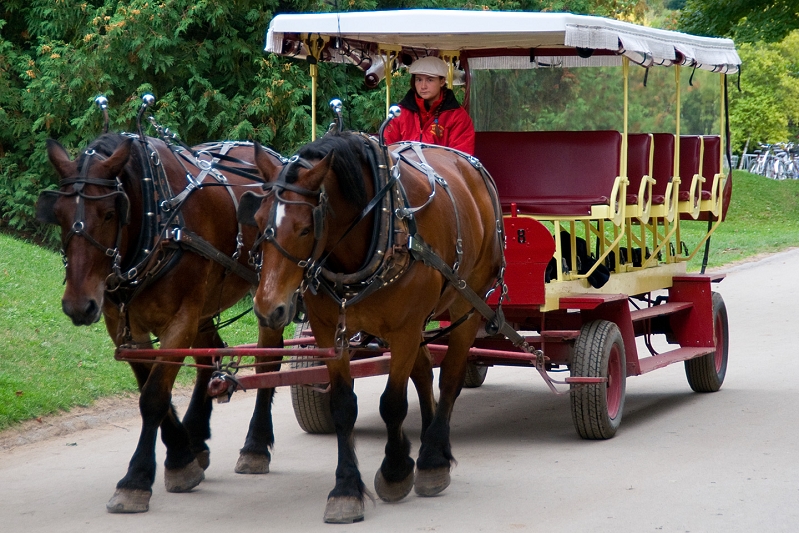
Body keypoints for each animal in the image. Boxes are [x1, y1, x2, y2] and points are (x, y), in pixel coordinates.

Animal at [38, 133, 288, 512]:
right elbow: (152, 388)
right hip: (205, 305)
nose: (78, 306)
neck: (158, 222)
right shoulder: (124, 328)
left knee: (267, 362)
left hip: (269, 292)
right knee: (211, 356)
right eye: (59, 215)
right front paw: (183, 453)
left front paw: (138, 479)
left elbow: (154, 396)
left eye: (109, 213)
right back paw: (197, 436)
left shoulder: (181, 320)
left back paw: (256, 445)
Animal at [241, 131, 506, 520]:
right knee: (424, 372)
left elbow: (392, 403)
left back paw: (433, 457)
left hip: (467, 303)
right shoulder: (328, 329)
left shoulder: (405, 328)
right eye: (258, 221)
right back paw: (426, 442)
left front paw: (396, 470)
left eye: (304, 229)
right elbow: (342, 406)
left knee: (450, 377)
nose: (267, 308)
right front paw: (346, 488)